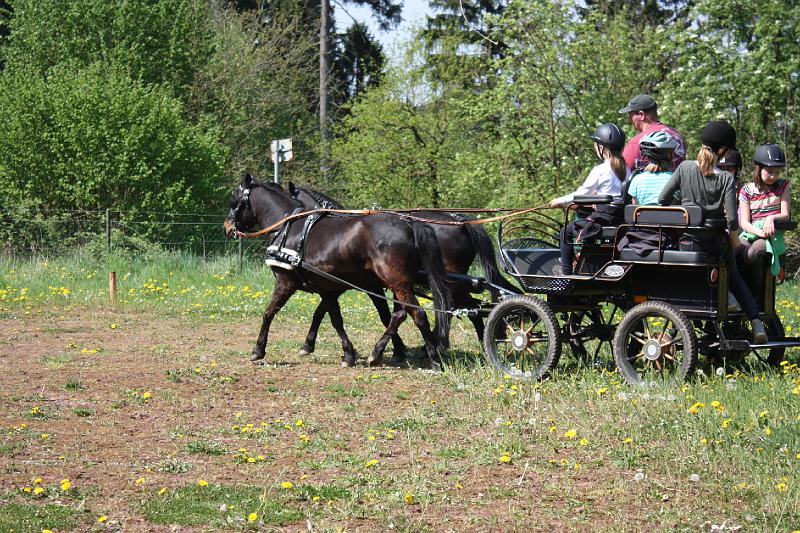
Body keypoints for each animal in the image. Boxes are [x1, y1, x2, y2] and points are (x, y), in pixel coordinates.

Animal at [222, 175, 454, 370]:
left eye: (234, 201)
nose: (226, 227)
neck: (291, 228)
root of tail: (408, 224)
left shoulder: (286, 282)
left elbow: (269, 313)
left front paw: (258, 350)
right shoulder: (329, 288)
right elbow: (332, 318)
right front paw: (345, 353)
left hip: (398, 282)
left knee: (417, 314)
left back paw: (432, 358)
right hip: (397, 283)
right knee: (400, 314)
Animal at [288, 182, 520, 358]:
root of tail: (461, 221)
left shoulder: (369, 286)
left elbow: (382, 314)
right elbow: (323, 311)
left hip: (450, 282)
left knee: (461, 307)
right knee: (467, 307)